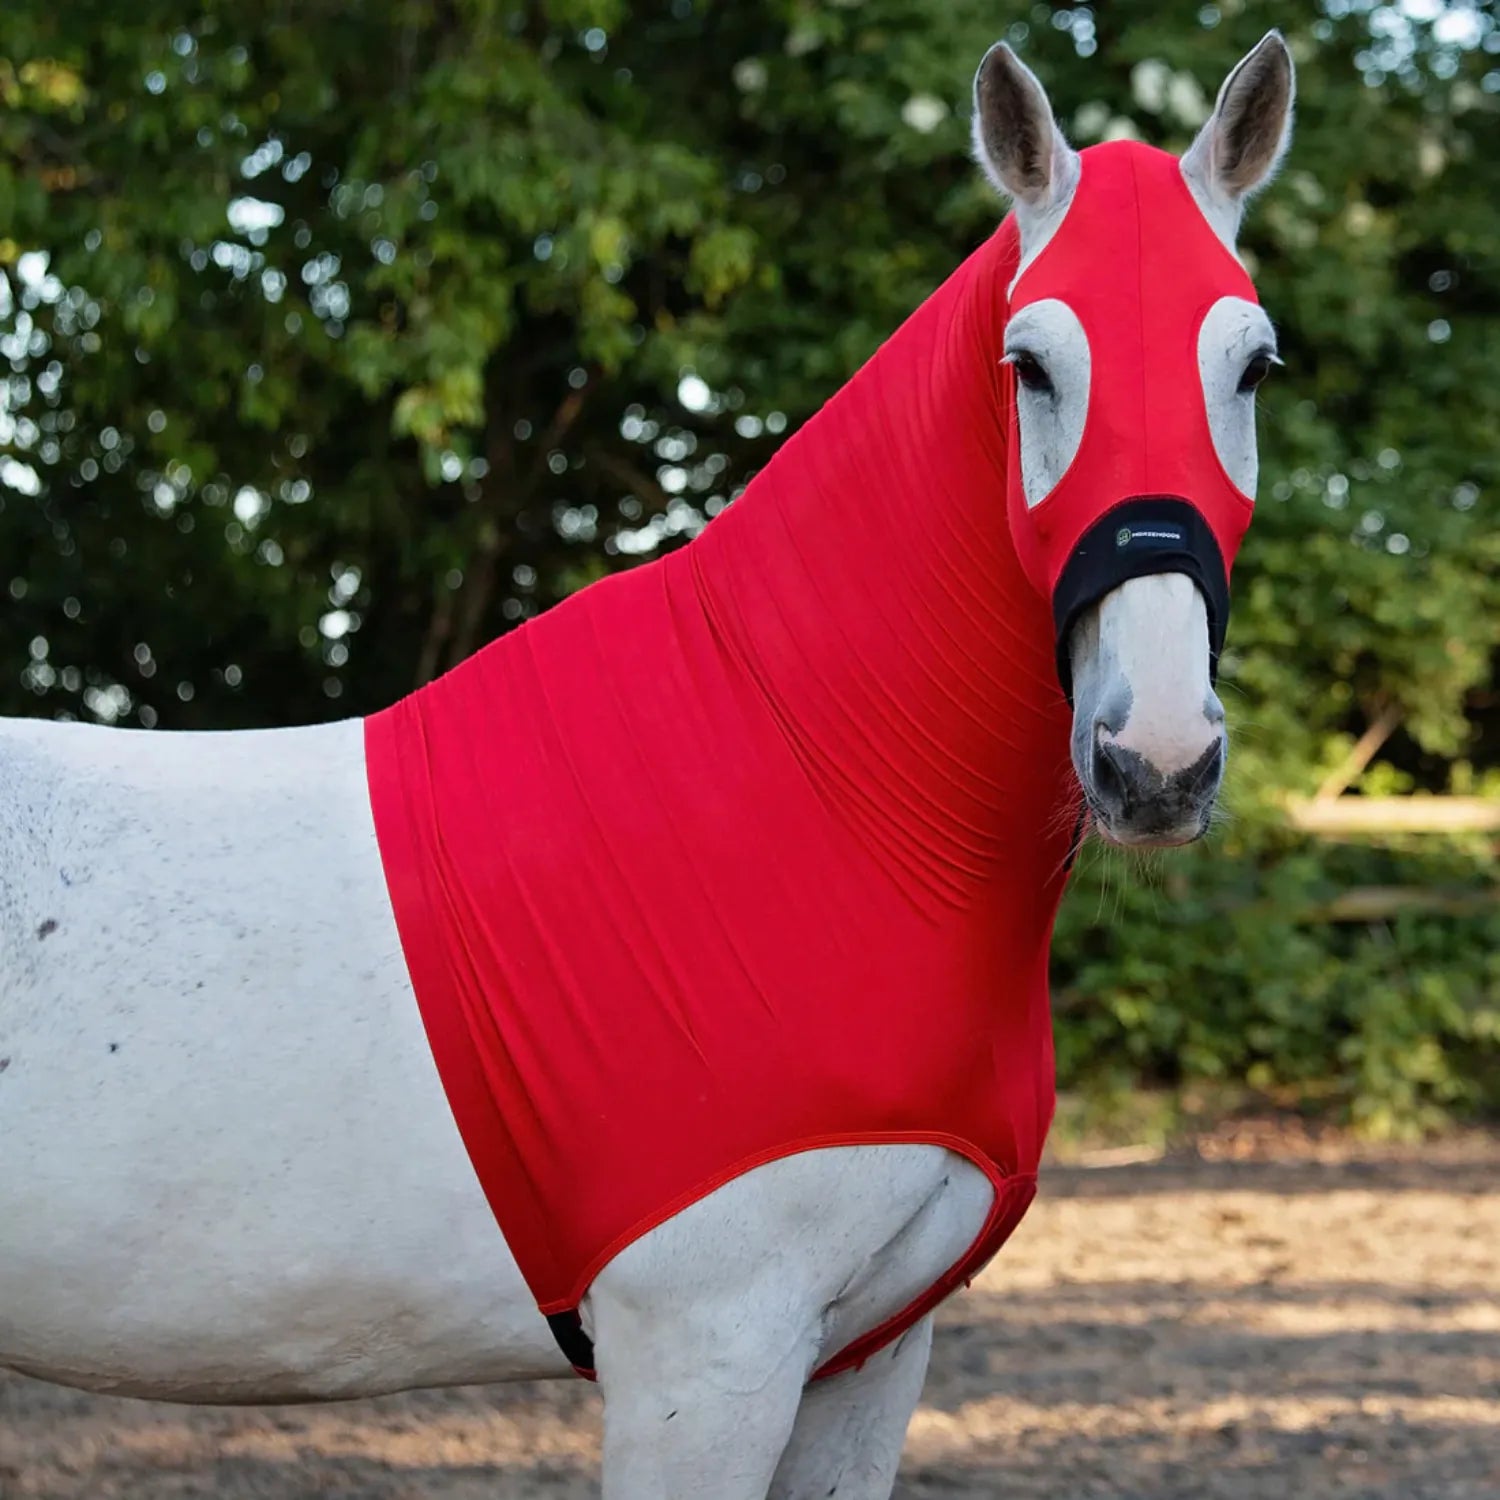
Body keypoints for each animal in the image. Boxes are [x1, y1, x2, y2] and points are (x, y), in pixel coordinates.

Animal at [0, 33, 1294, 1500]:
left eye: (1252, 367)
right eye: (1031, 365)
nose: (1158, 759)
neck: (813, 787)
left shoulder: (866, 1363)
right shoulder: (707, 1358)